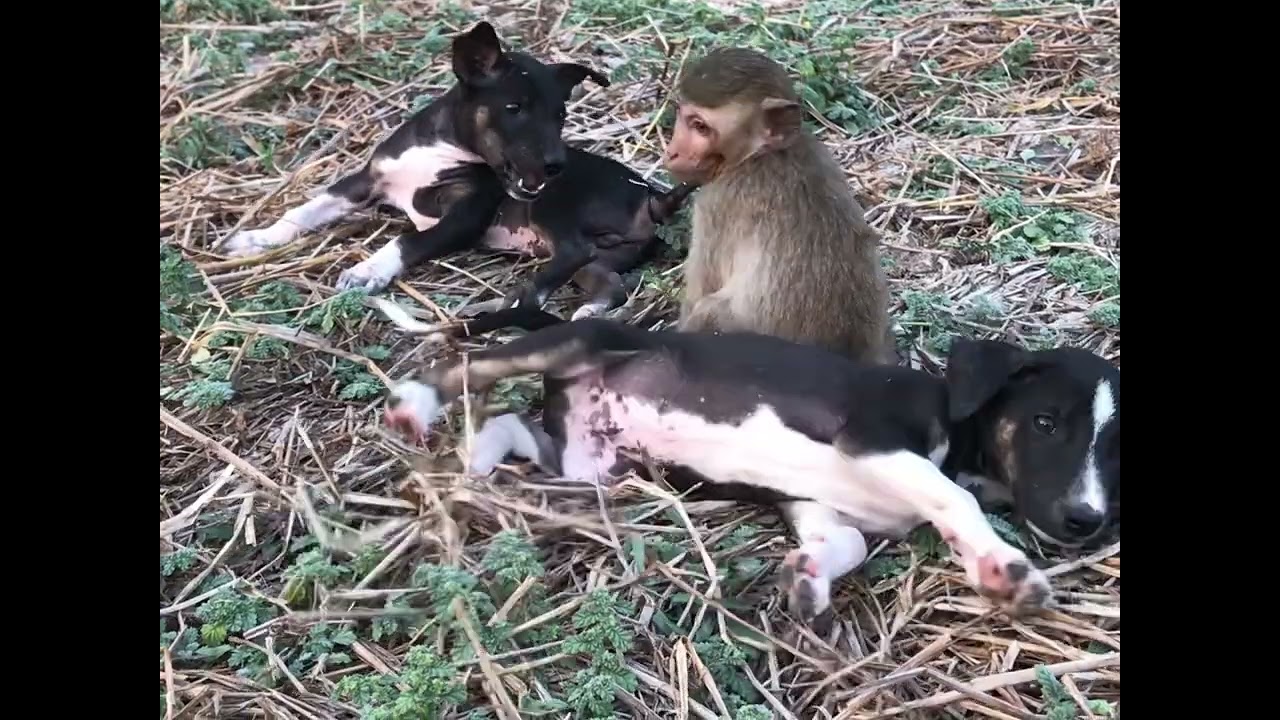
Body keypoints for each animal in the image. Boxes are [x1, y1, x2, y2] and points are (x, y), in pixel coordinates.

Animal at [663, 47, 894, 366]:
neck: (761, 155)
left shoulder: (717, 203)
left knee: (708, 311)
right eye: (683, 116)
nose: (672, 152)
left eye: (700, 126)